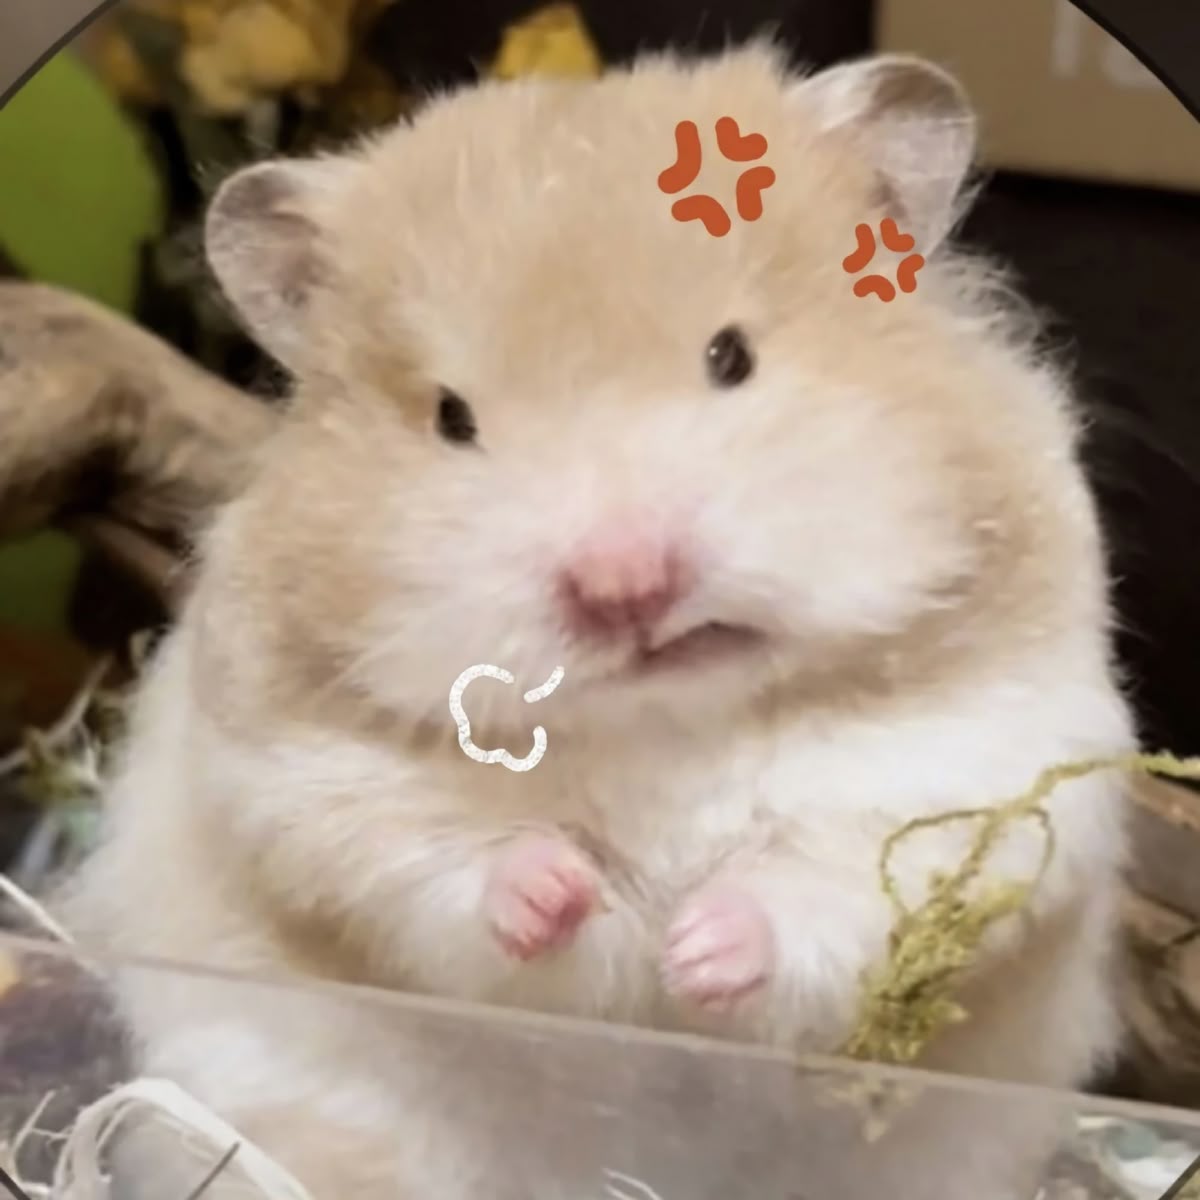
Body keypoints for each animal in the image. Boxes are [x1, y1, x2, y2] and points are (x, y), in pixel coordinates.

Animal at [59, 41, 1136, 1200]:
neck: (665, 720)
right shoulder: (306, 776)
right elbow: (442, 863)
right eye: (452, 418)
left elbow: (832, 883)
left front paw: (694, 949)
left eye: (731, 357)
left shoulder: (974, 764)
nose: (624, 586)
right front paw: (566, 895)